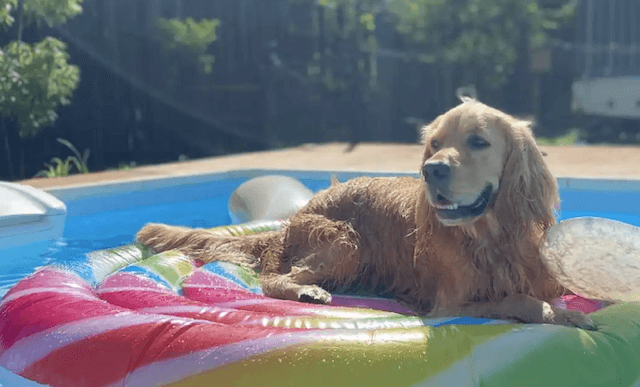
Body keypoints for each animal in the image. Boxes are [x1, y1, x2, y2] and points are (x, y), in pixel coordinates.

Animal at [135, 100, 596, 330]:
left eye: (478, 141)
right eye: (434, 144)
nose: (432, 170)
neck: (488, 238)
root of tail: (293, 219)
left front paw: (568, 311)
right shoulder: (449, 302)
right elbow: (520, 299)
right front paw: (558, 315)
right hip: (344, 240)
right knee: (274, 279)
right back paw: (309, 291)